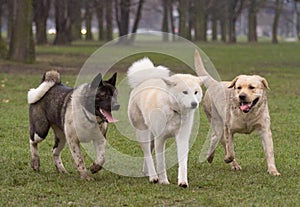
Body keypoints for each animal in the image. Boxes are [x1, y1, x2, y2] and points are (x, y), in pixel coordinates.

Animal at [126, 57, 202, 187]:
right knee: (147, 153)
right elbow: (161, 162)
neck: (174, 111)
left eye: (196, 92)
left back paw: (146, 171)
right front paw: (163, 181)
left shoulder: (182, 138)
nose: (194, 104)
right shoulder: (160, 139)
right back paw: (153, 176)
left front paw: (183, 182)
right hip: (143, 134)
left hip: (152, 137)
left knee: (148, 153)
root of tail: (145, 80)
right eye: (185, 92)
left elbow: (183, 162)